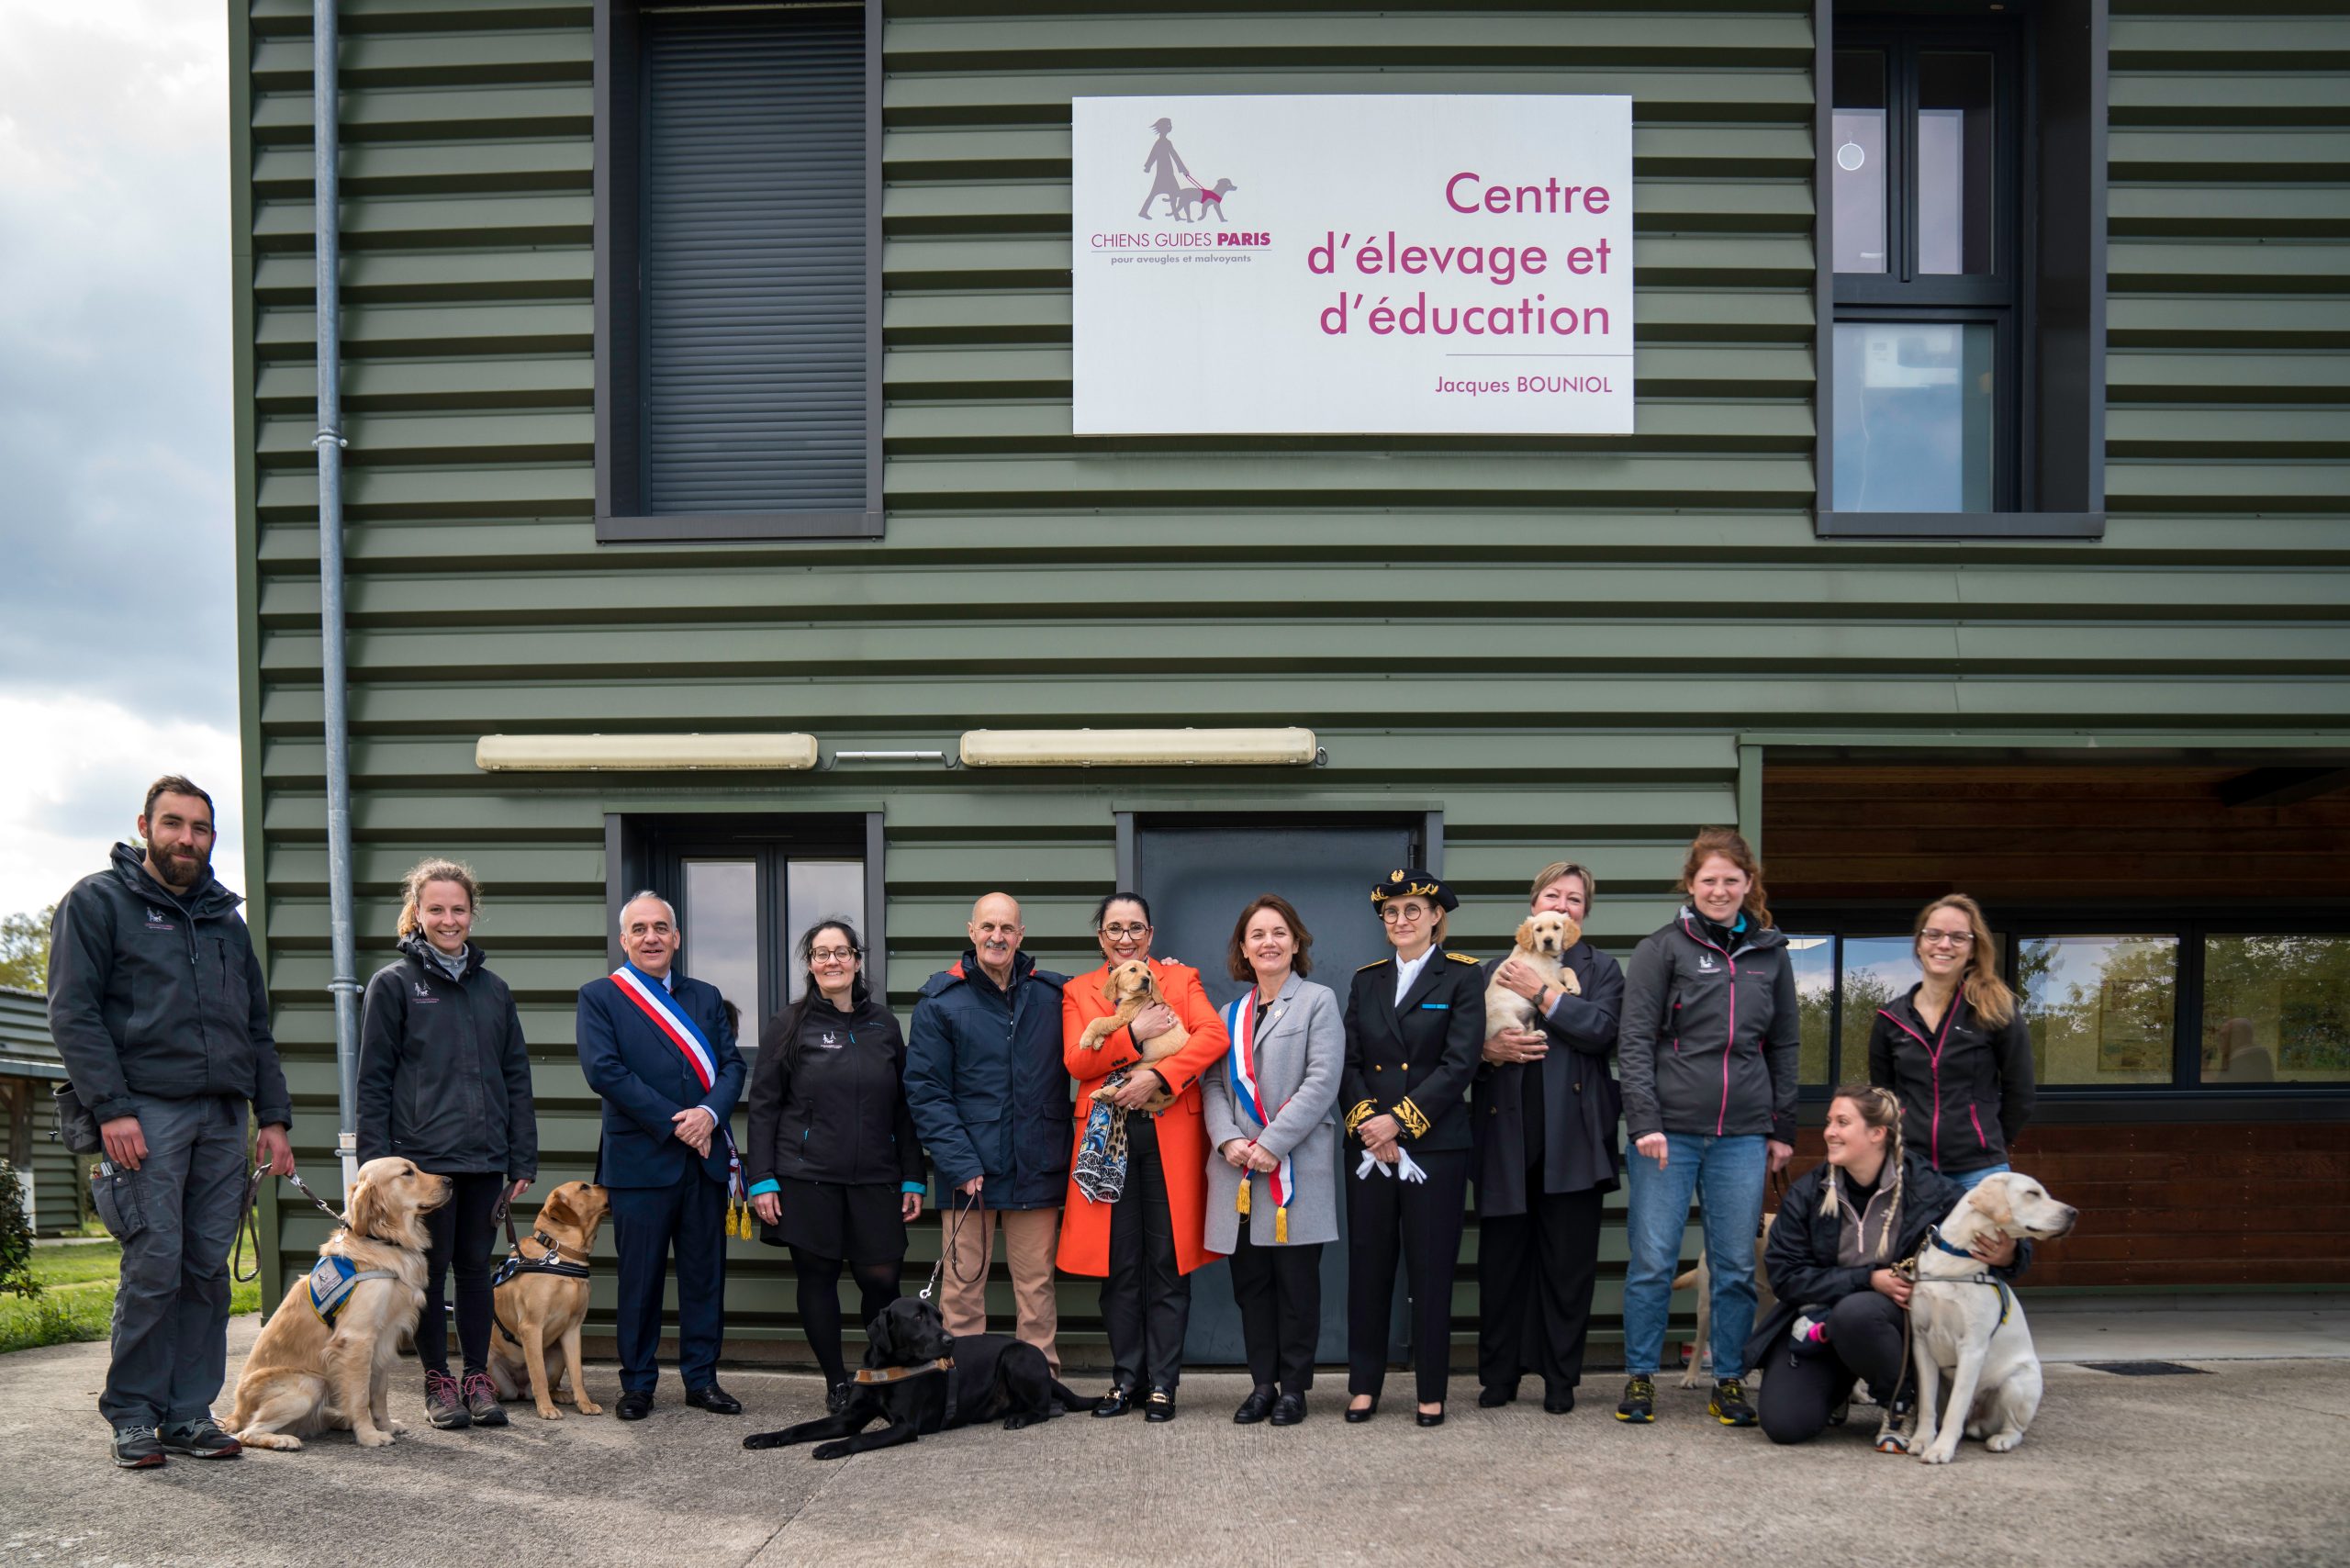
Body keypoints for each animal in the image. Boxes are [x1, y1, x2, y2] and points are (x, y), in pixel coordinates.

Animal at [225, 1160, 443, 1457]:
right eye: (407, 1172)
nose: (451, 1181)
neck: (380, 1238)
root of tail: (236, 1411)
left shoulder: (384, 1338)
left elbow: (379, 1393)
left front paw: (385, 1425)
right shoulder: (357, 1338)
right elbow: (361, 1395)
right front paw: (369, 1435)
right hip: (309, 1384)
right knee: (248, 1432)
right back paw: (284, 1440)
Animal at [1908, 1170, 2077, 1466]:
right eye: (2032, 1193)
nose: (2073, 1213)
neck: (1955, 1261)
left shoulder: (1972, 1347)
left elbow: (1956, 1407)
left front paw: (1941, 1449)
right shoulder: (1921, 1342)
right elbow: (1927, 1405)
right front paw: (1922, 1440)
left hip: (2016, 1384)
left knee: (2016, 1429)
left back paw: (2001, 1440)